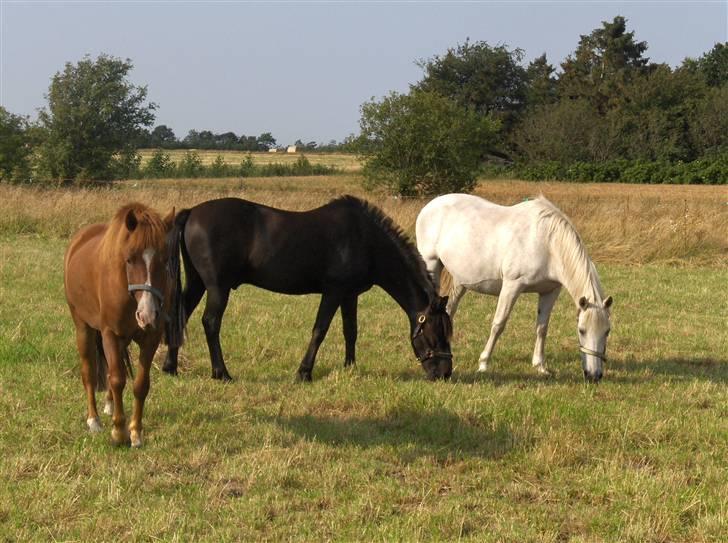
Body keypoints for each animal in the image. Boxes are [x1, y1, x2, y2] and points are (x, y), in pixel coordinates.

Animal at [64, 204, 175, 446]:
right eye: (130, 259)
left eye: (165, 260)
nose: (147, 315)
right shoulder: (110, 334)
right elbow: (116, 380)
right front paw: (119, 432)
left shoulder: (151, 337)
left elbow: (140, 384)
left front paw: (135, 432)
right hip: (82, 326)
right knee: (89, 371)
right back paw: (94, 420)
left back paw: (109, 405)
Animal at [164, 197, 456, 382]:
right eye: (436, 332)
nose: (444, 373)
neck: (366, 239)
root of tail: (191, 212)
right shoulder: (333, 291)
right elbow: (320, 330)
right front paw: (304, 372)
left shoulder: (349, 294)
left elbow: (351, 331)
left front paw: (350, 367)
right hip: (217, 287)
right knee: (211, 322)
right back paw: (221, 373)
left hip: (197, 283)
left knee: (181, 316)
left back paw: (170, 368)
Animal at [416, 194, 616, 382]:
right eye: (581, 330)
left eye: (607, 331)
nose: (594, 375)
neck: (547, 243)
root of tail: (430, 205)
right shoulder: (512, 285)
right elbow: (498, 324)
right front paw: (483, 363)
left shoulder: (550, 291)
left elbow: (542, 328)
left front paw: (540, 366)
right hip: (431, 265)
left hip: (461, 281)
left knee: (449, 309)